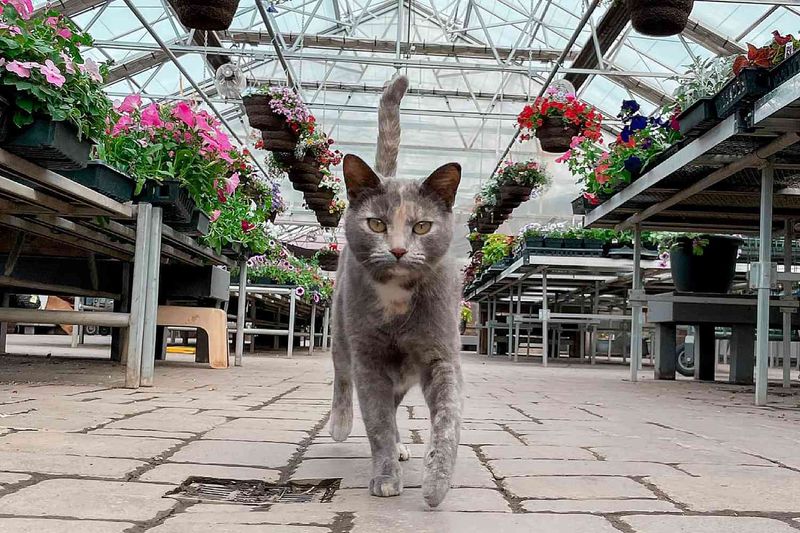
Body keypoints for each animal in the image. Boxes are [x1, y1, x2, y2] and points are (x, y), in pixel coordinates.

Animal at [326, 75, 462, 508]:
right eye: (376, 224)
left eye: (421, 226)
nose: (399, 249)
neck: (398, 299)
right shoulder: (369, 360)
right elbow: (378, 423)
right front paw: (386, 477)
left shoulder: (441, 354)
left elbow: (448, 418)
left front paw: (436, 484)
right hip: (341, 331)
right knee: (341, 378)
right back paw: (339, 424)